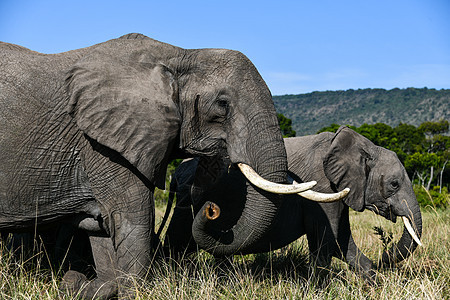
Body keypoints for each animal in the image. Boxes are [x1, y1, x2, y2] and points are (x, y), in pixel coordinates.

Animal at [0, 32, 322, 298]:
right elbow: (135, 221)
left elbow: (102, 229)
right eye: (222, 105)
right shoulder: (102, 144)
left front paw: (93, 287)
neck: (181, 55)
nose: (211, 208)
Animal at [163, 126, 424, 278]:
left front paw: (370, 281)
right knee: (178, 241)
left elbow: (341, 240)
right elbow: (326, 241)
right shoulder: (322, 185)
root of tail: (176, 174)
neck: (364, 146)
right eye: (394, 184)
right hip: (189, 198)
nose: (384, 255)